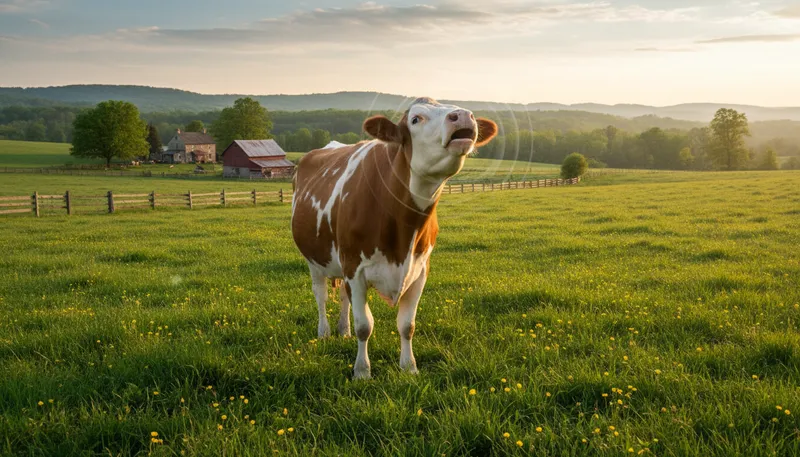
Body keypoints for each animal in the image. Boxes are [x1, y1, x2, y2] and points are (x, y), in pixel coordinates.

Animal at [291, 97, 498, 379]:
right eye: (415, 119)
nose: (463, 115)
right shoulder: (355, 268)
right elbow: (364, 326)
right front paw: (362, 372)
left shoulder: (420, 270)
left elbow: (407, 325)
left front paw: (409, 367)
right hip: (314, 260)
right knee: (320, 295)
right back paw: (324, 333)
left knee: (343, 297)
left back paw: (343, 331)